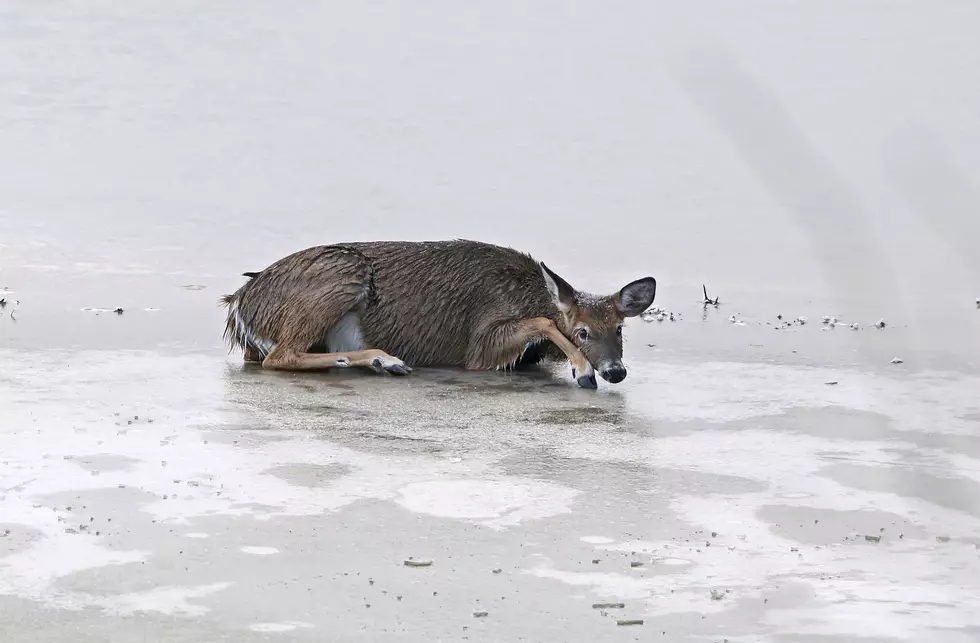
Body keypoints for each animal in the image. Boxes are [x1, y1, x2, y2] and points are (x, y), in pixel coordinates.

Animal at [218, 240, 656, 388]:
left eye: (619, 328)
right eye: (582, 331)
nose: (615, 371)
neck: (527, 291)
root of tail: (239, 305)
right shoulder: (480, 344)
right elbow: (545, 321)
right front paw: (582, 371)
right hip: (343, 272)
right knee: (281, 356)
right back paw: (385, 359)